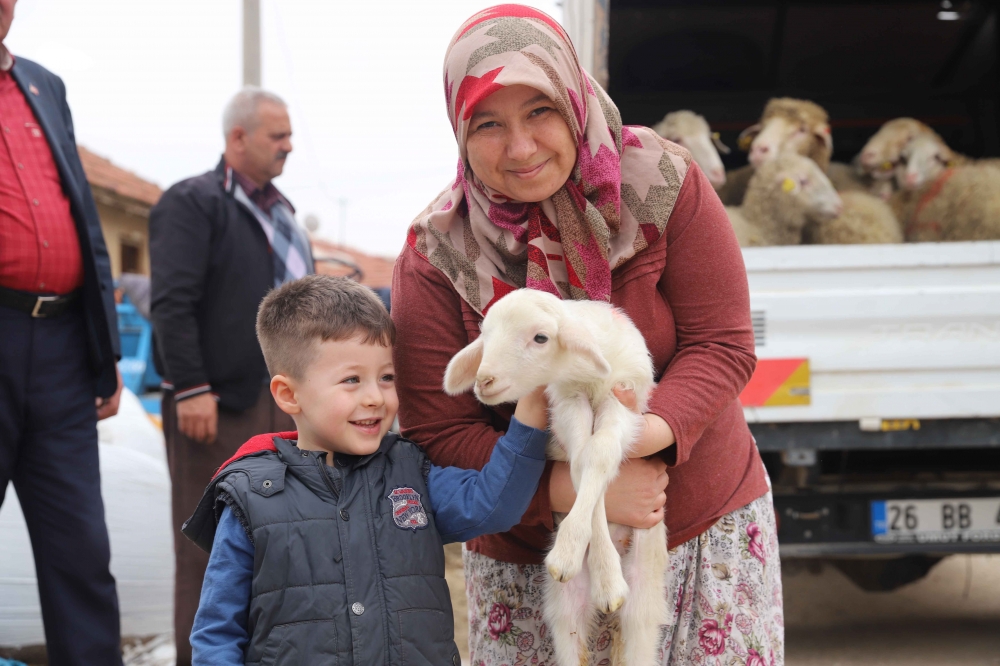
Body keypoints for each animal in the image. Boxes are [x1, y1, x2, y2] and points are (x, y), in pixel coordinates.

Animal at [443, 289, 668, 666]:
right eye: (485, 334)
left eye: (541, 338)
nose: (484, 380)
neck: (588, 378)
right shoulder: (566, 400)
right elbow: (581, 460)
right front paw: (583, 556)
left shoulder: (624, 398)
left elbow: (600, 453)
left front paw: (600, 572)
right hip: (565, 607)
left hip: (644, 596)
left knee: (639, 630)